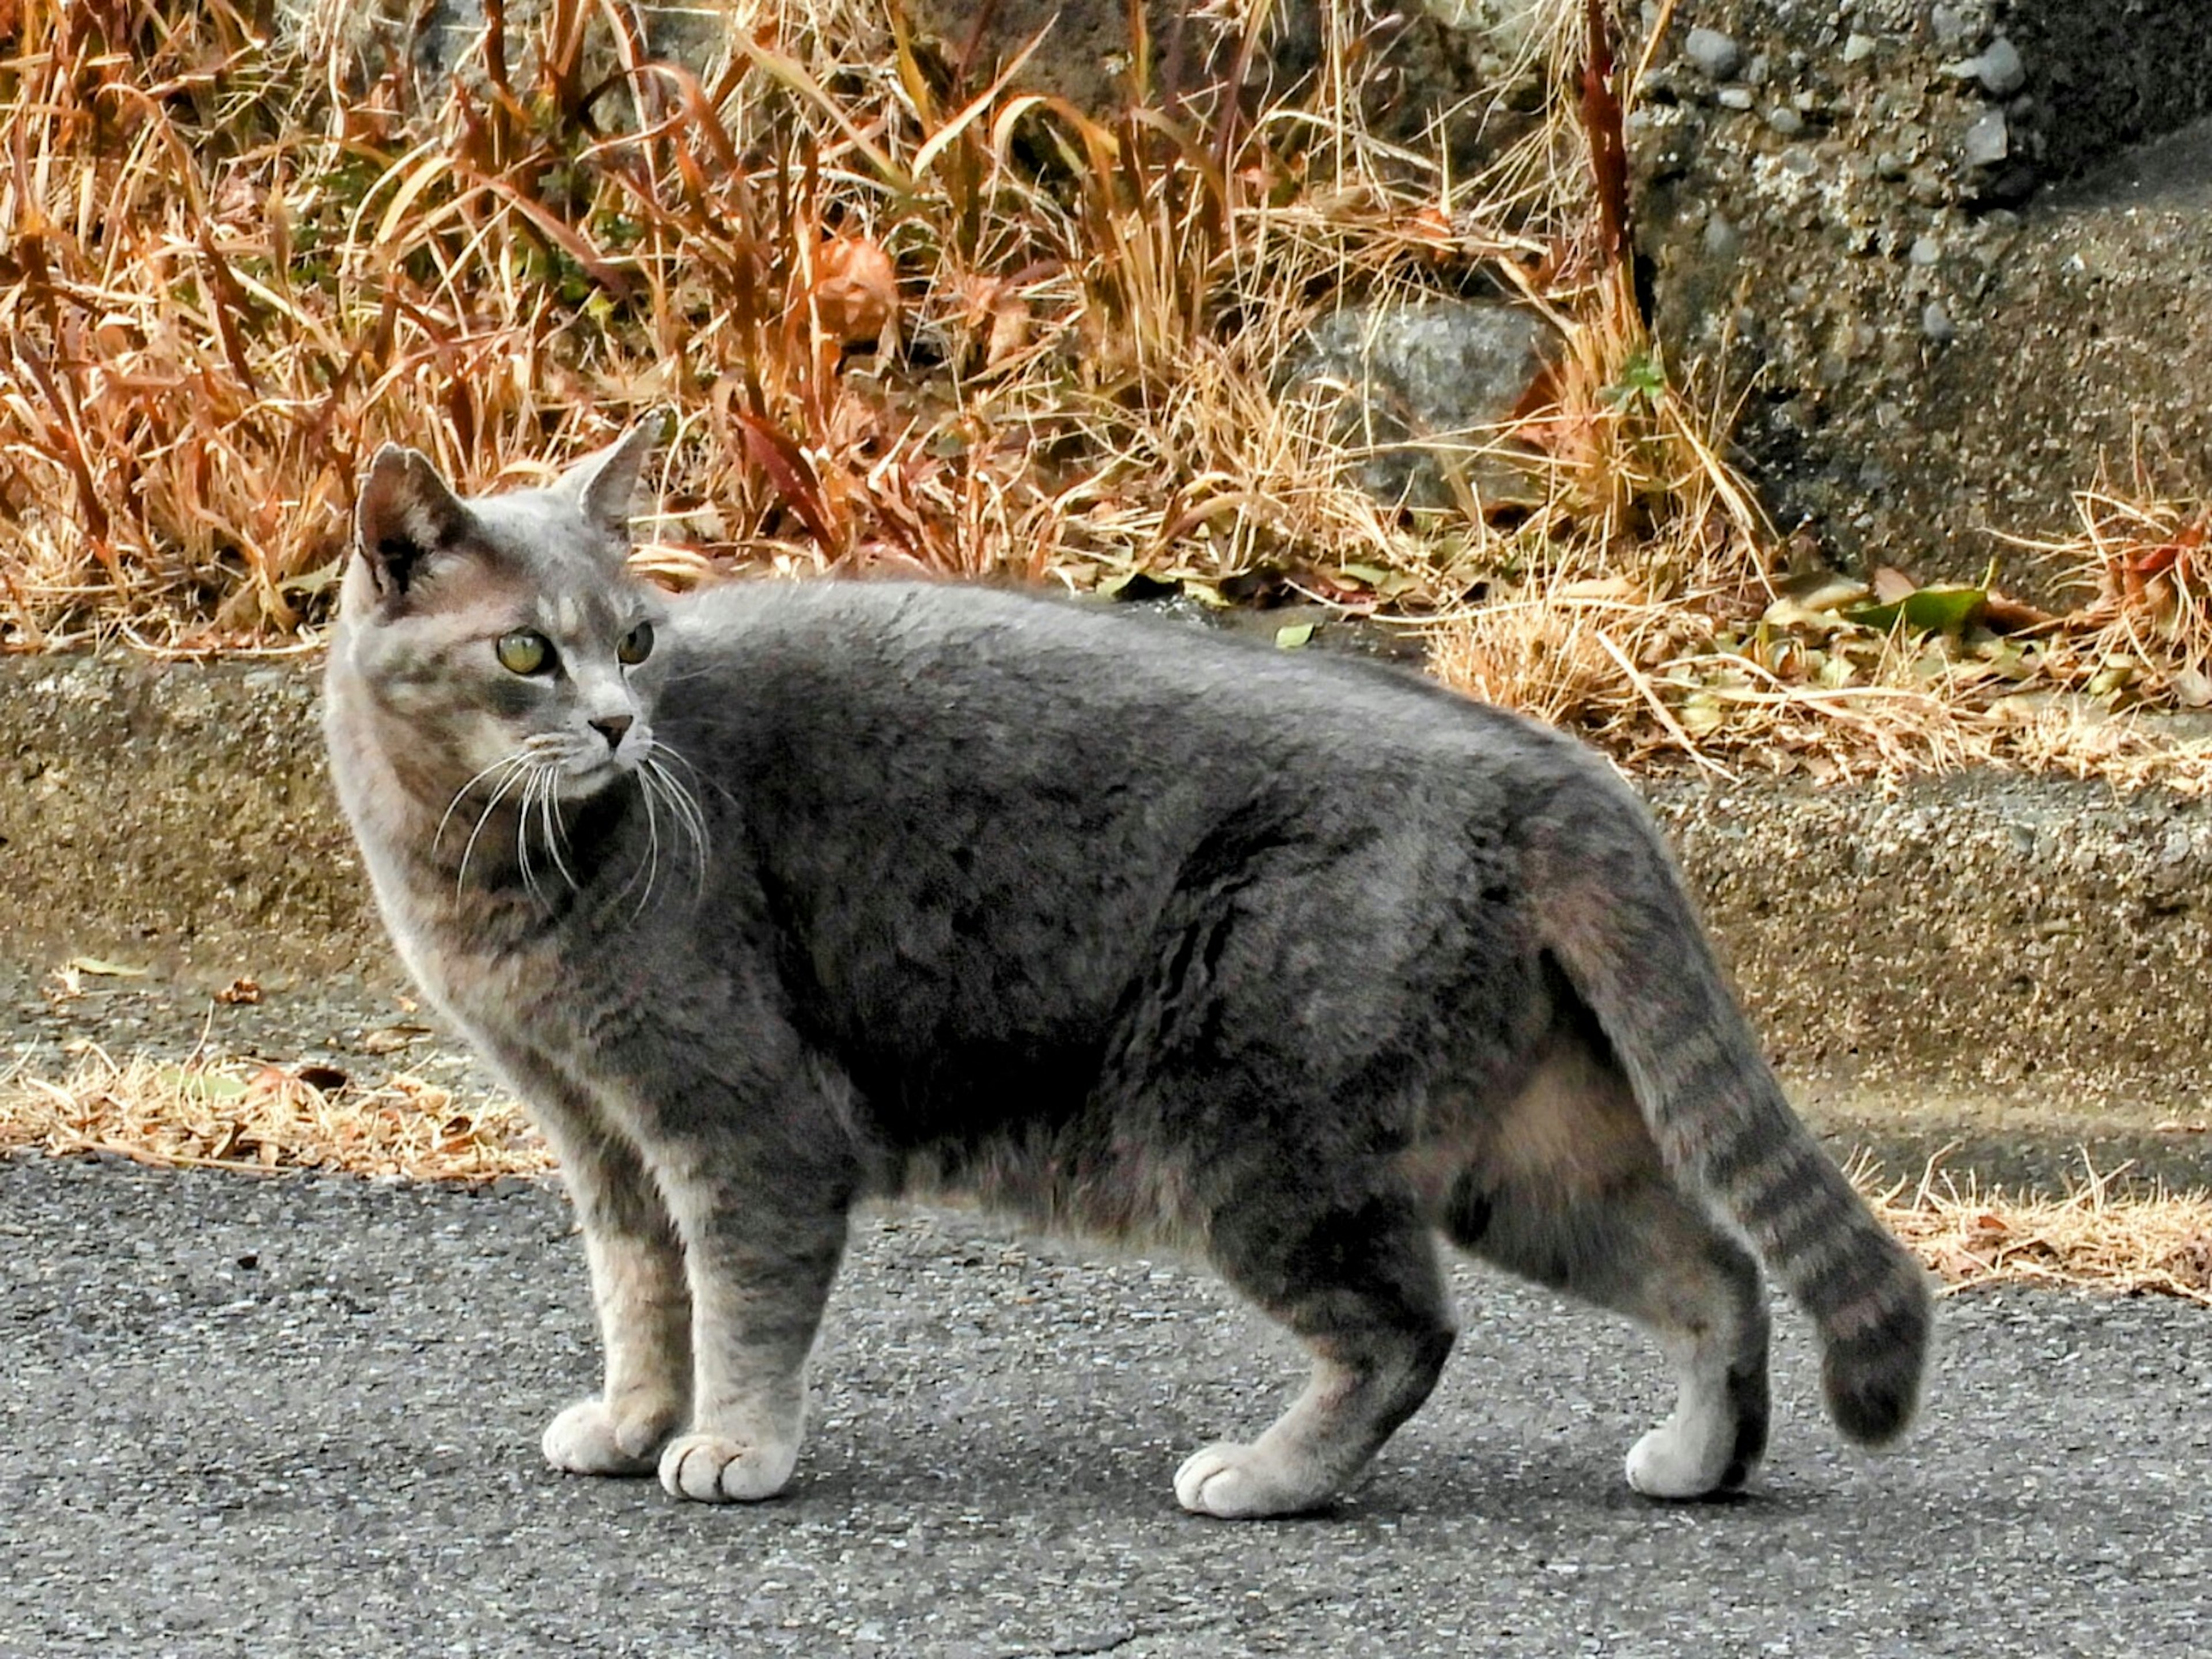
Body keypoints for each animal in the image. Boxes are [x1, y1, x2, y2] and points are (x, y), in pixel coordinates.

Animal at [320, 415, 1929, 1521]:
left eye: (639, 640)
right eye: (528, 650)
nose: (616, 725)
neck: (484, 867)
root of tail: (1557, 768)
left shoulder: (739, 1122)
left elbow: (741, 1303)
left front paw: (731, 1445)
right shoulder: (599, 1134)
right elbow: (639, 1295)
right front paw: (633, 1420)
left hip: (1251, 1127)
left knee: (1407, 1332)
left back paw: (1270, 1475)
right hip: (1520, 1155)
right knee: (1714, 1266)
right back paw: (1697, 1458)